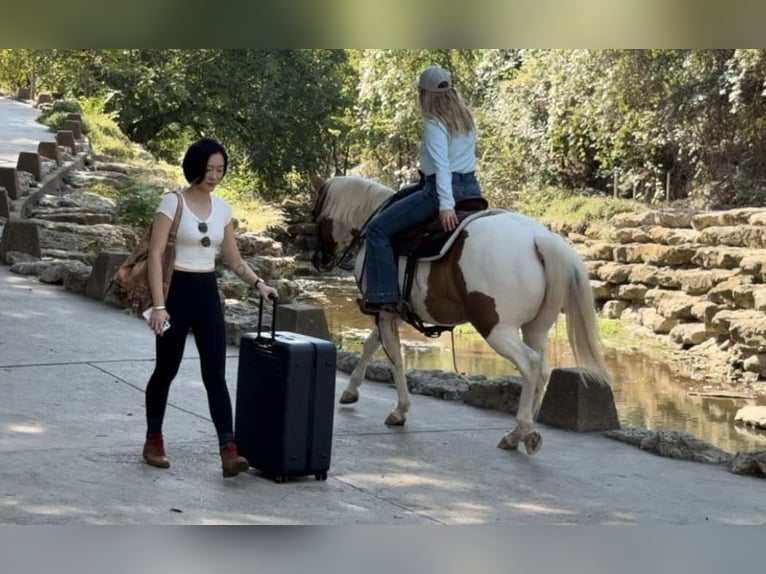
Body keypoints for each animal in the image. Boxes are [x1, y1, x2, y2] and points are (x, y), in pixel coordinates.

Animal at [308, 174, 608, 454]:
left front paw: (400, 410)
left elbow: (394, 359)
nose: (320, 260)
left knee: (530, 364)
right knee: (542, 369)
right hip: (536, 328)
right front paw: (351, 391)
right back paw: (524, 433)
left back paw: (519, 431)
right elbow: (372, 343)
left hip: (495, 327)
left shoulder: (384, 312)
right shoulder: (390, 313)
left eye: (316, 215)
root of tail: (537, 238)